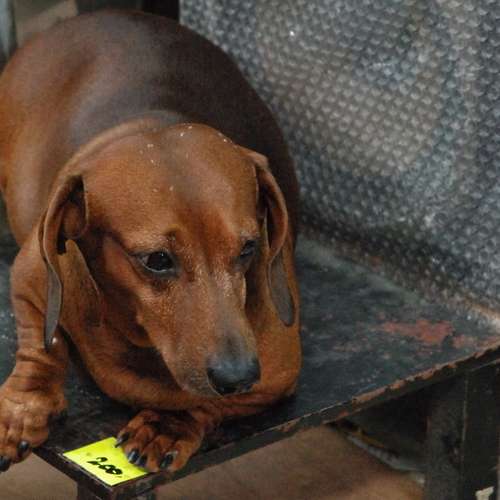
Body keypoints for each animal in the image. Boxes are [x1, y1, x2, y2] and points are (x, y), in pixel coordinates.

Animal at [0, 10, 301, 473]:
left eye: (249, 248)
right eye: (157, 259)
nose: (239, 375)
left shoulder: (279, 376)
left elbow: (207, 403)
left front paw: (169, 423)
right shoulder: (30, 273)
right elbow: (39, 346)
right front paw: (21, 410)